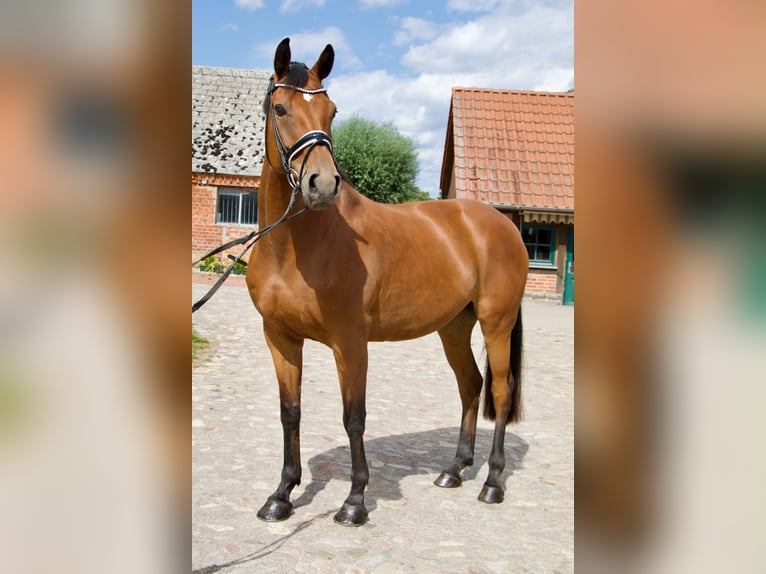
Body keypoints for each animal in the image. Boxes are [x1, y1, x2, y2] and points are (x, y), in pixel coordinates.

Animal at [246, 38, 528, 526]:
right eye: (280, 109)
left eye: (332, 111)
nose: (322, 184)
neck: (295, 248)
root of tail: (503, 224)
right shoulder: (279, 337)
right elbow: (290, 412)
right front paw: (281, 495)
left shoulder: (349, 341)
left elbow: (353, 417)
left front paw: (355, 501)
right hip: (454, 327)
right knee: (471, 385)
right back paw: (455, 470)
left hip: (497, 323)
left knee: (500, 389)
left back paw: (492, 482)